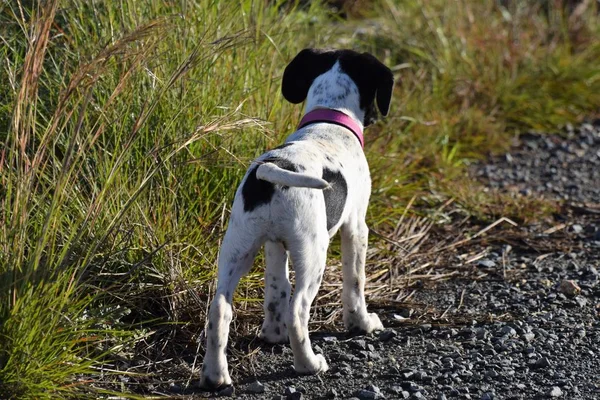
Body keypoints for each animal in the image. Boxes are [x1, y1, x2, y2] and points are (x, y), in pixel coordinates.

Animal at [200, 48, 394, 390]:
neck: (329, 120)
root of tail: (273, 170)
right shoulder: (356, 227)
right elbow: (355, 281)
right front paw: (362, 323)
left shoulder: (275, 245)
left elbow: (276, 289)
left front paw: (272, 334)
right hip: (313, 254)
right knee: (298, 311)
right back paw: (309, 364)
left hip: (239, 247)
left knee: (220, 310)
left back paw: (215, 375)